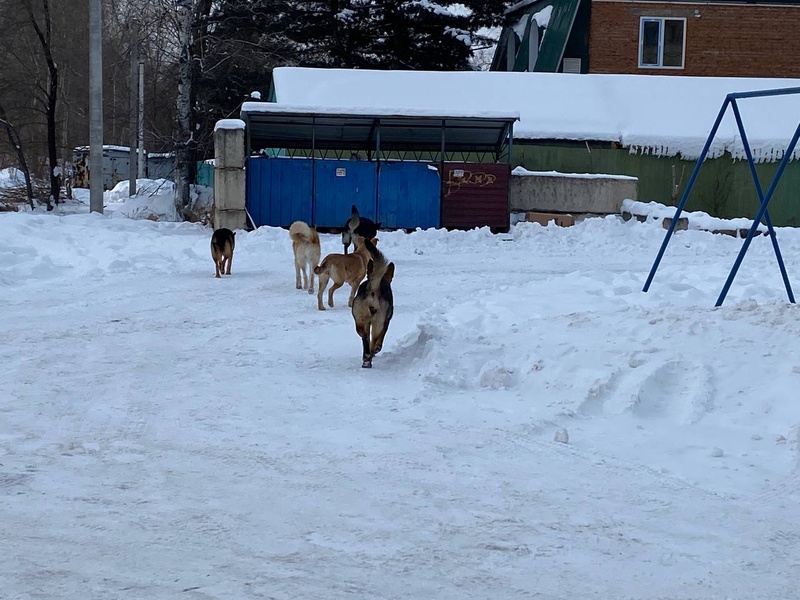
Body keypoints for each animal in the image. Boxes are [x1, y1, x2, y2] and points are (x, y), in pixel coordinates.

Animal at [354, 238, 396, 368]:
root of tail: (373, 289)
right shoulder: (386, 322)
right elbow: (380, 339)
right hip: (379, 322)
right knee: (373, 342)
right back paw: (371, 355)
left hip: (360, 319)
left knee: (364, 336)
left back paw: (367, 358)